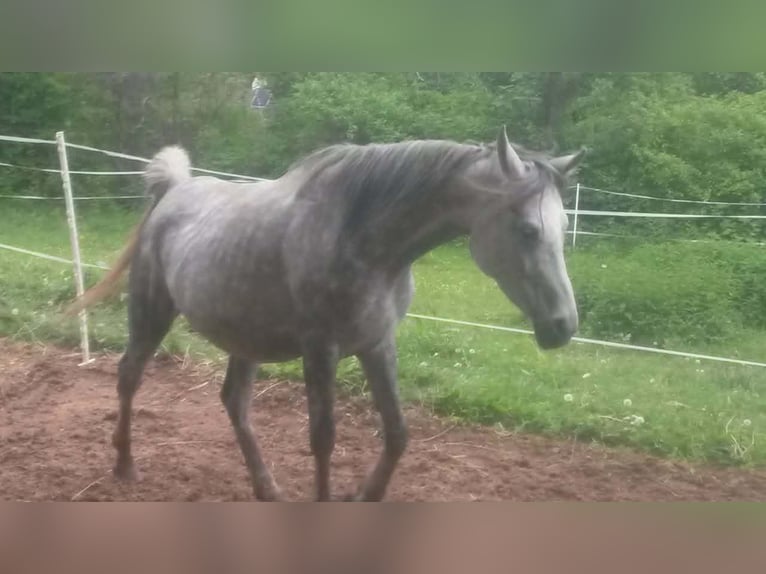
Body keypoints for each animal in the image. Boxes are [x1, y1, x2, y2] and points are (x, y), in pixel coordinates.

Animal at [67, 126, 585, 501]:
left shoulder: (377, 343)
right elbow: (323, 438)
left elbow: (397, 433)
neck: (364, 241)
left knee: (234, 402)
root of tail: (173, 192)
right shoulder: (322, 349)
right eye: (527, 230)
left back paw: (267, 489)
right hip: (151, 311)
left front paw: (368, 496)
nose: (563, 327)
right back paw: (125, 466)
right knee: (129, 376)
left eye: (564, 225)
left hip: (244, 336)